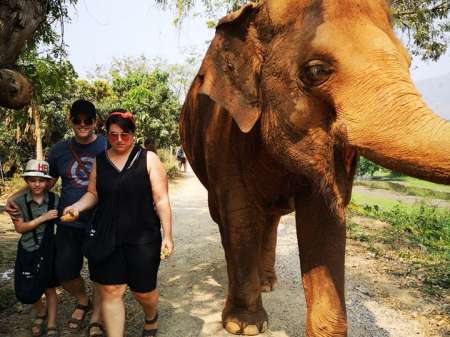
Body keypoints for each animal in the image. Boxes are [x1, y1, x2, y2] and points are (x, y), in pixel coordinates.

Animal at [179, 1, 450, 334]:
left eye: (409, 62)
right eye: (317, 71)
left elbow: (324, 222)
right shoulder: (225, 136)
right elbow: (240, 216)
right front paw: (245, 327)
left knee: (269, 219)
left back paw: (267, 283)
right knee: (225, 218)